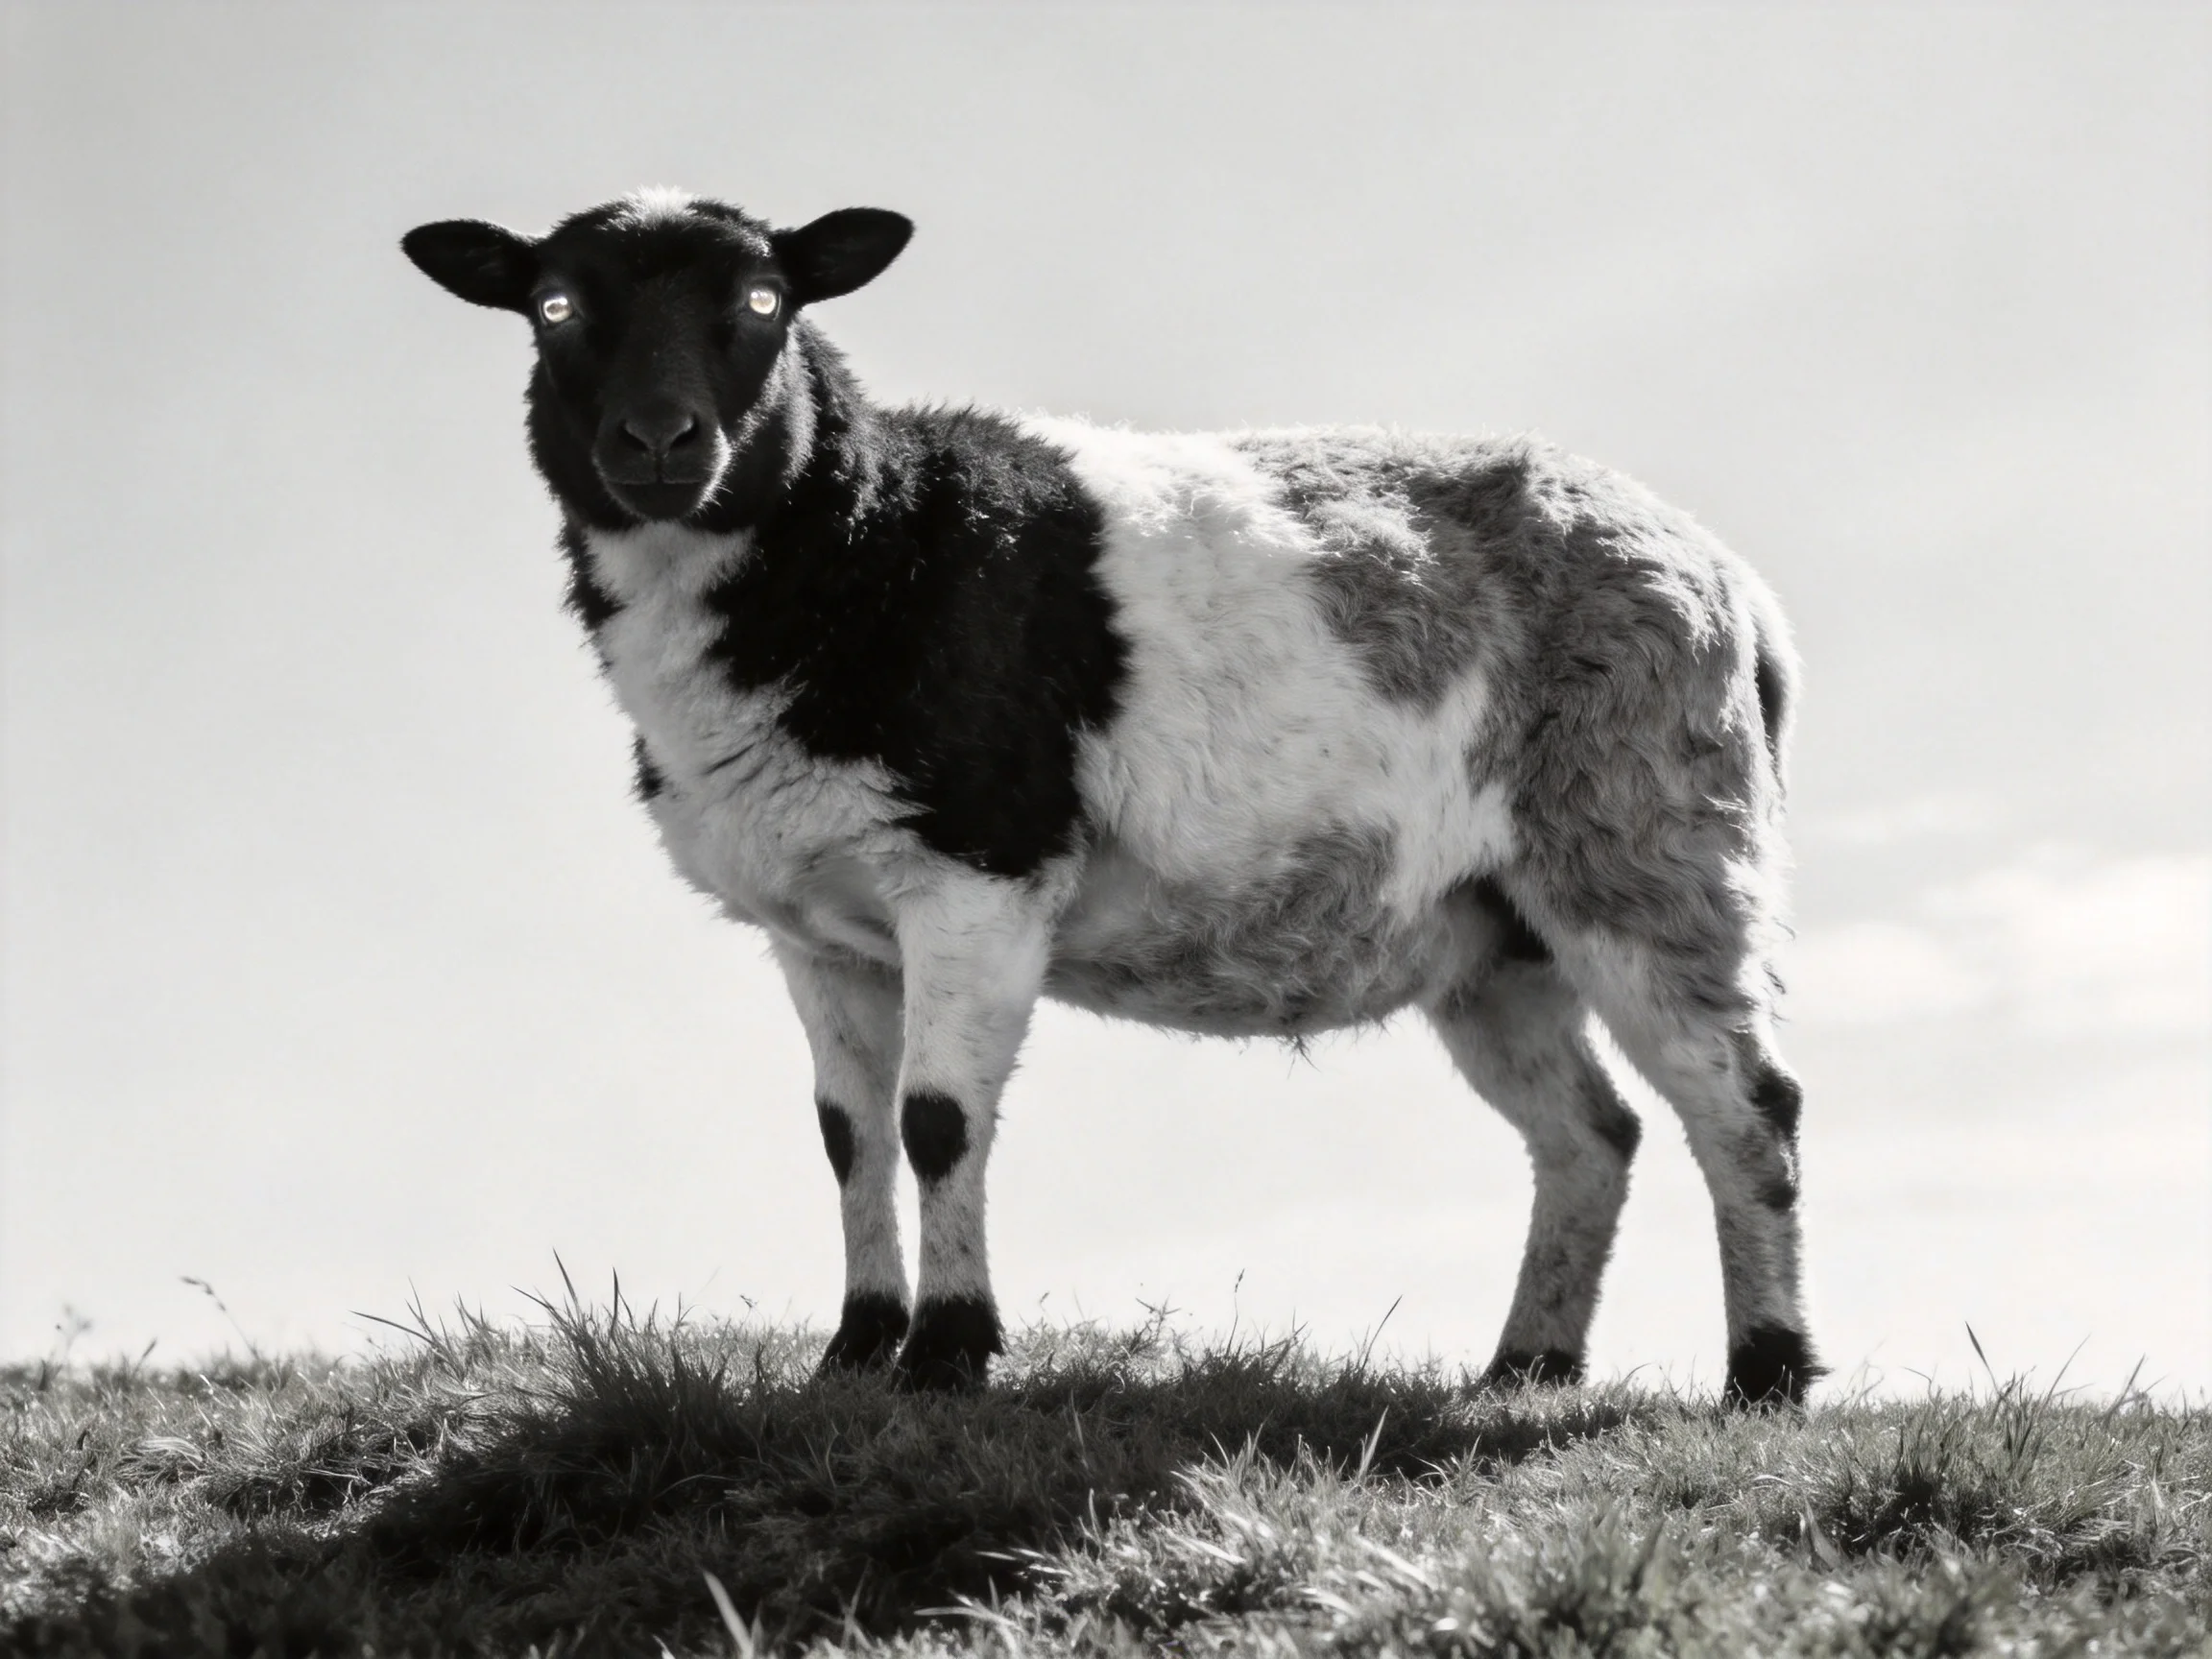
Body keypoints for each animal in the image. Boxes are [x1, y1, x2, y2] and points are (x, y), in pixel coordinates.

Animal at [401, 189, 1821, 1402]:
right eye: (554, 307)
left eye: (763, 299)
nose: (658, 442)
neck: (865, 552)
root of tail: (1736, 595)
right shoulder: (816, 924)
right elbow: (849, 1138)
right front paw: (854, 1357)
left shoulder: (976, 865)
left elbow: (936, 1122)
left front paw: (948, 1356)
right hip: (1492, 935)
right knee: (1593, 1135)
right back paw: (1526, 1366)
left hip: (1651, 837)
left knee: (1746, 1106)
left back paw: (1765, 1375)